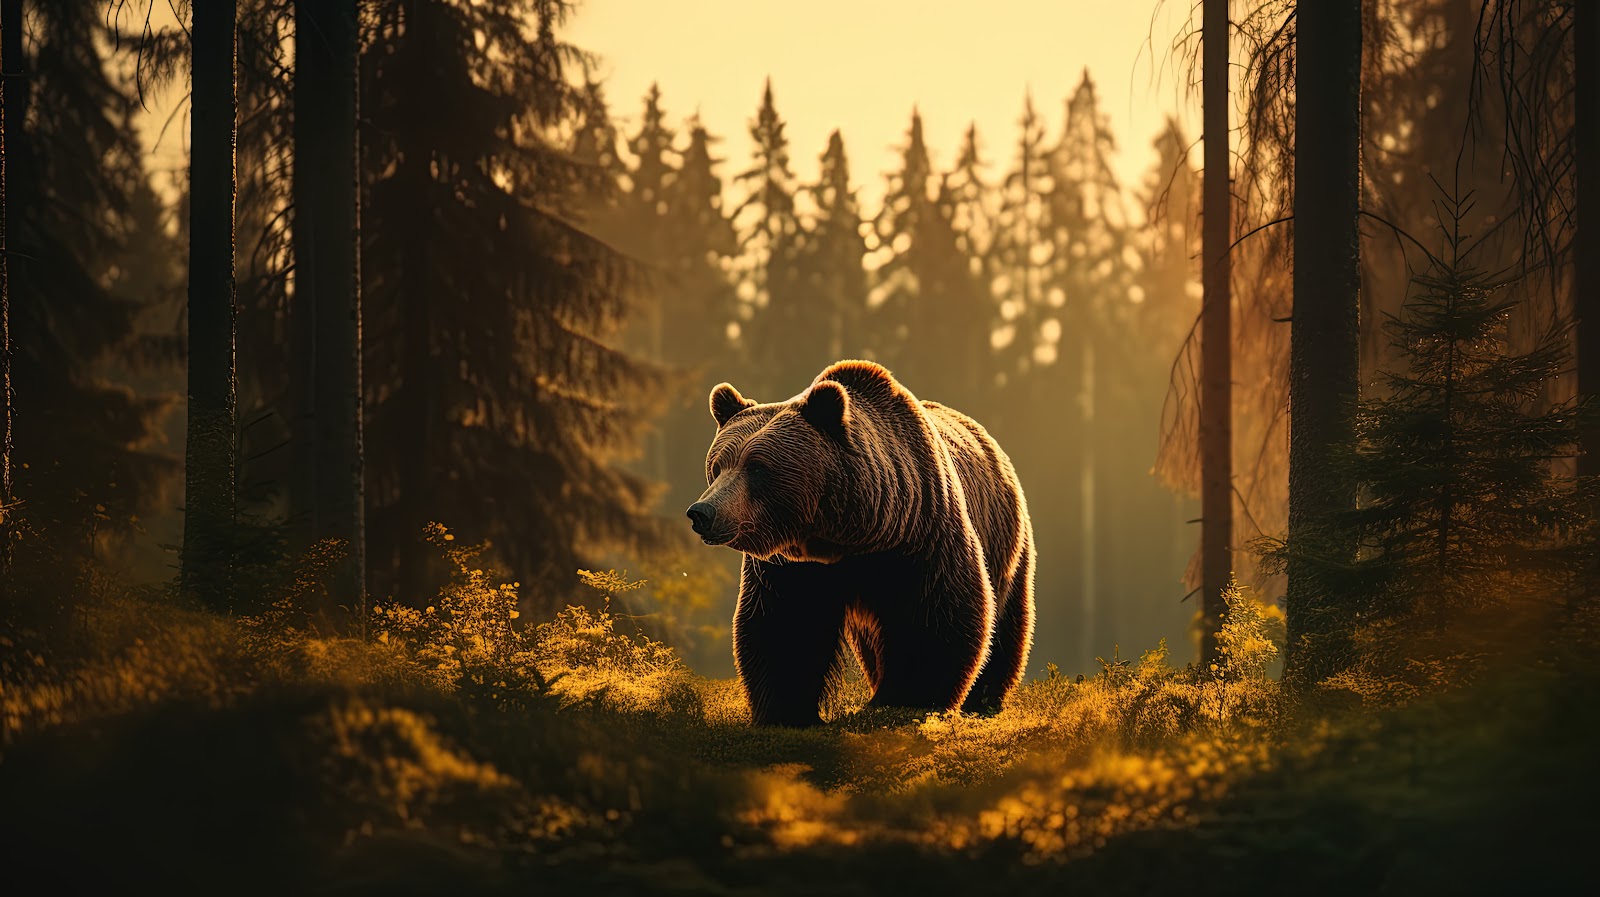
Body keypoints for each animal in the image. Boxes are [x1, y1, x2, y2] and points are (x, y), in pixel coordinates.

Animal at [686, 360, 1036, 727]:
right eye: (718, 466)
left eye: (756, 467)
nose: (703, 512)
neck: (845, 538)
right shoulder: (792, 567)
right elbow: (785, 626)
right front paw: (787, 712)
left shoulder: (922, 537)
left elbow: (936, 619)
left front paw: (904, 701)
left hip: (1007, 542)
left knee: (1006, 622)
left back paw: (983, 700)